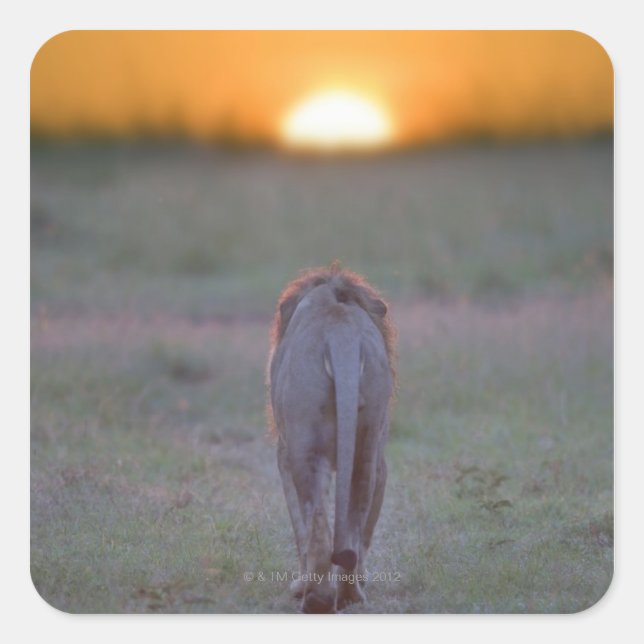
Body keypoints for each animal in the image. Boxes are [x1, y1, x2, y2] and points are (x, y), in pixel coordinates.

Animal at [267, 263, 396, 613]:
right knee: (355, 519)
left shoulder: (284, 454)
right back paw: (351, 595)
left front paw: (299, 586)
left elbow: (299, 526)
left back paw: (317, 598)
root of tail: (342, 333)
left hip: (305, 447)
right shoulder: (381, 461)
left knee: (318, 526)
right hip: (367, 446)